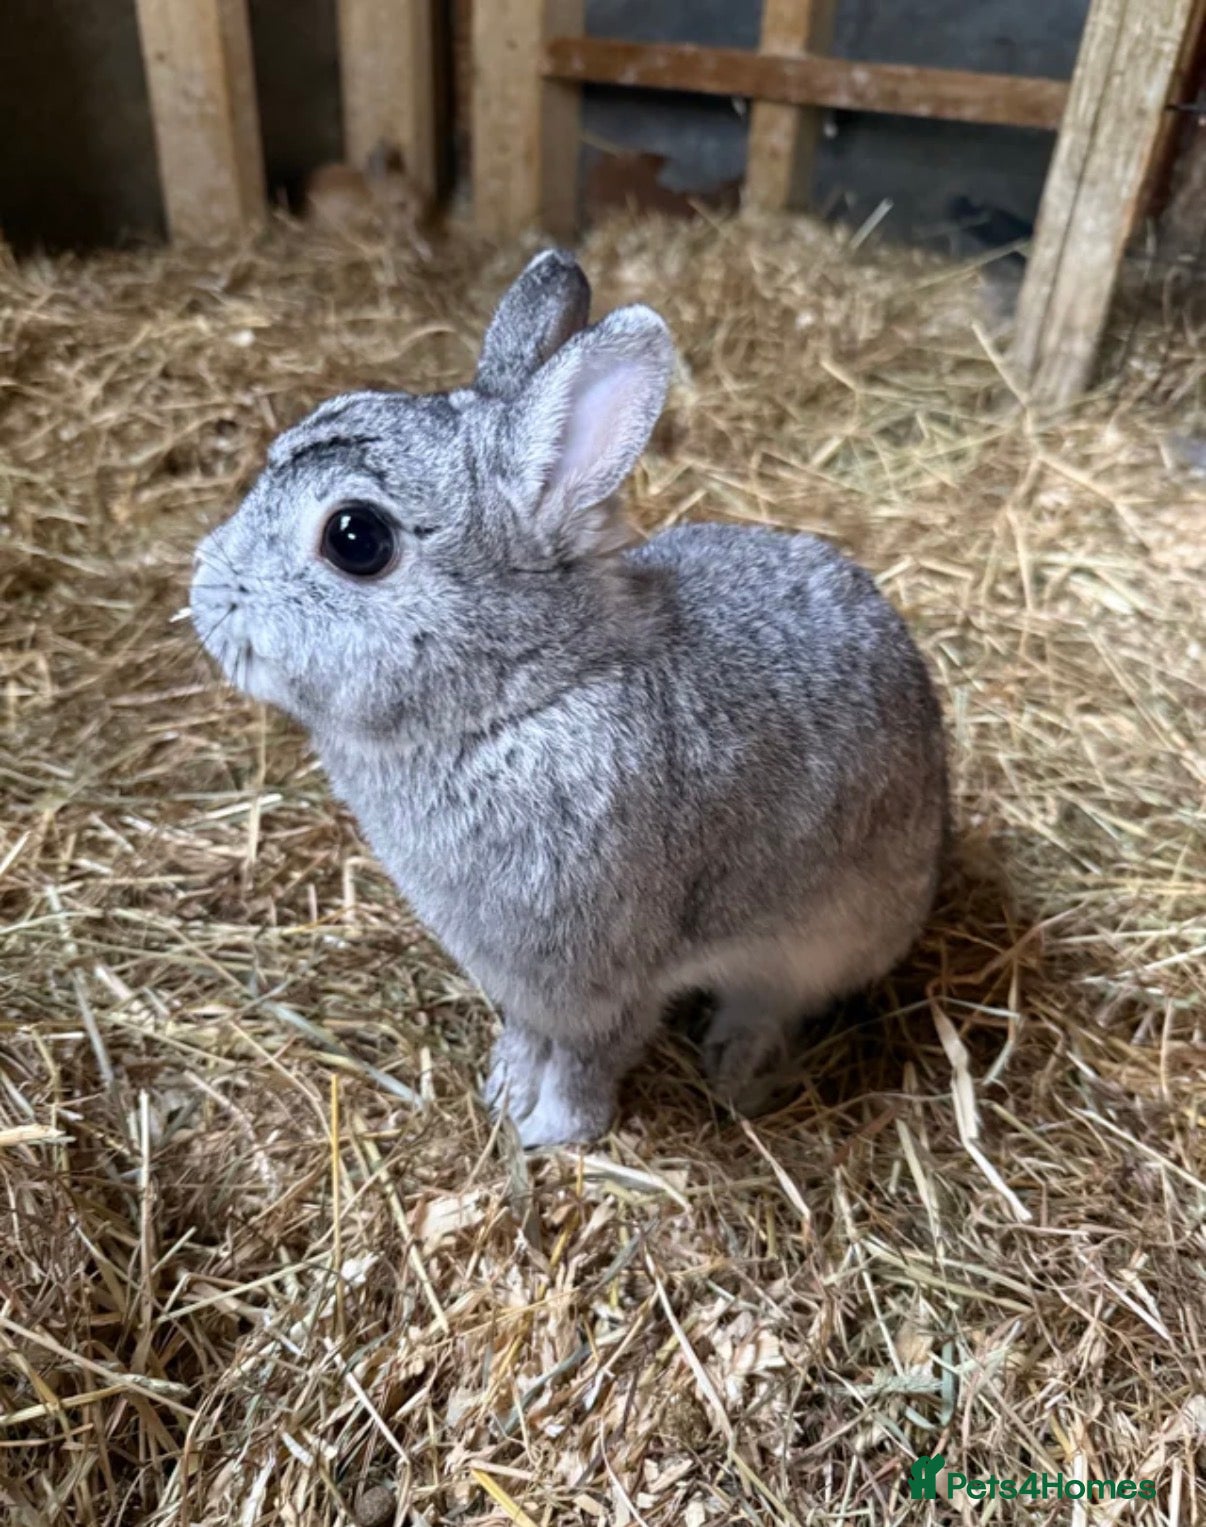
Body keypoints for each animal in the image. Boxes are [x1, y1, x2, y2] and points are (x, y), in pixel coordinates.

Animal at [190, 248, 948, 1147]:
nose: (204, 595)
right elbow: (527, 1032)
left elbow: (591, 1057)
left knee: (779, 999)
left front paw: (551, 1132)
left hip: (827, 936)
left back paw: (736, 1061)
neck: (521, 697)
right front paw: (504, 1088)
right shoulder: (521, 978)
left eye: (355, 538)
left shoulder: (605, 974)